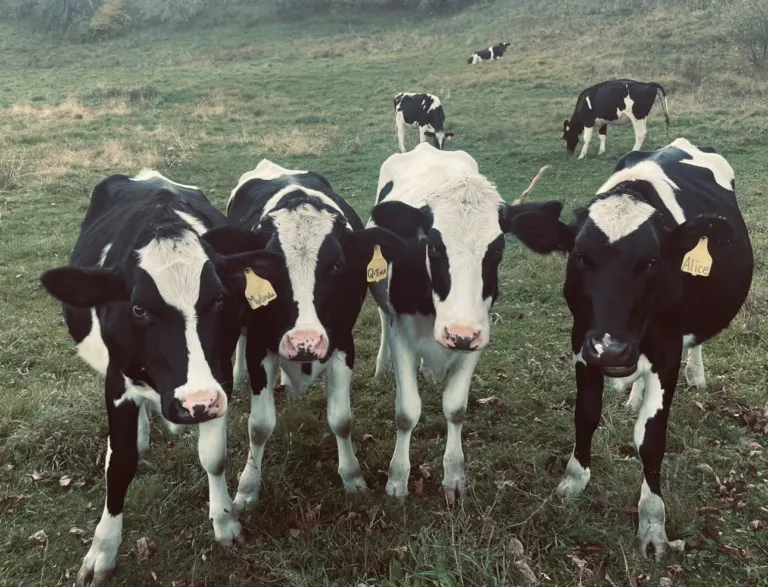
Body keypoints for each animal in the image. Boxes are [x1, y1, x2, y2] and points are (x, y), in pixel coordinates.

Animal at [39, 170, 285, 585]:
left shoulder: (217, 380)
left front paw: (225, 523)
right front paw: (102, 551)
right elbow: (120, 464)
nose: (194, 403)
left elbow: (214, 456)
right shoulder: (117, 382)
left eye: (219, 299)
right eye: (139, 308)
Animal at [206, 159, 406, 511]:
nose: (305, 342)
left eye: (337, 264)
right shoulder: (260, 347)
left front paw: (352, 478)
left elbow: (341, 419)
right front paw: (247, 488)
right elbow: (259, 426)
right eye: (269, 267)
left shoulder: (343, 344)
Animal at [367, 142, 550, 502]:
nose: (458, 333)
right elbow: (407, 412)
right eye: (434, 246)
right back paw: (382, 367)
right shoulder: (401, 335)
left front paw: (453, 474)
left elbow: (455, 408)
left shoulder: (477, 337)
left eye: (497, 249)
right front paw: (397, 479)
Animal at [506, 138, 753, 558]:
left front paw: (653, 521)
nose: (613, 350)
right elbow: (585, 415)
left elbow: (650, 440)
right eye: (580, 257)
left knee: (696, 341)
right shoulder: (583, 342)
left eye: (651, 261)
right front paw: (573, 481)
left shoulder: (666, 352)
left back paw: (696, 374)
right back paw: (635, 396)